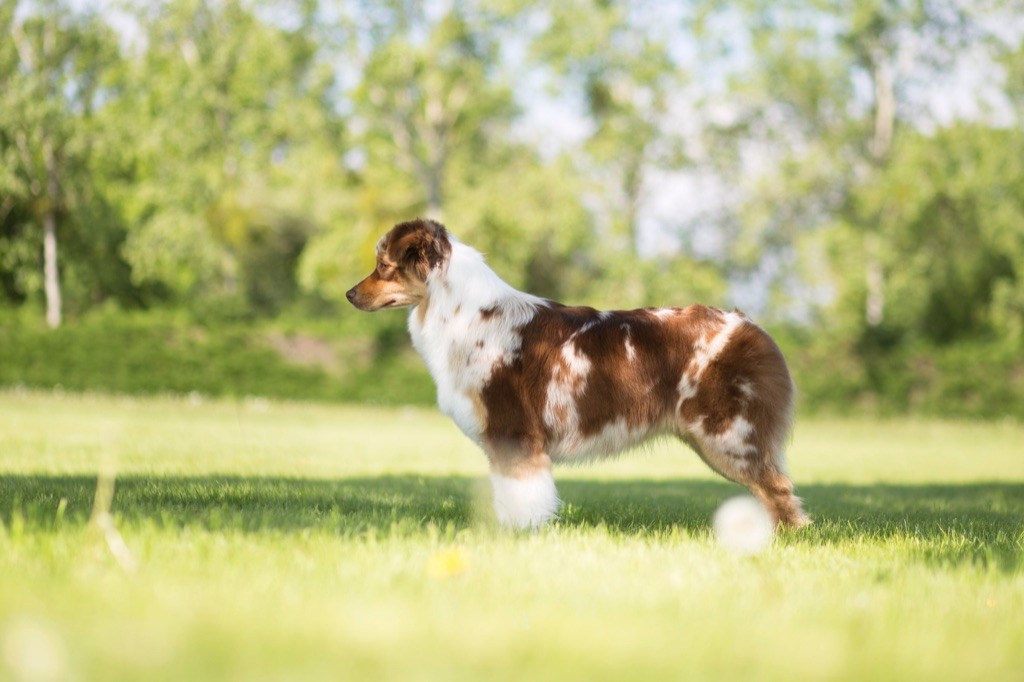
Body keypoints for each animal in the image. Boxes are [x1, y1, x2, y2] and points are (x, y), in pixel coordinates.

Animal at [348, 220, 811, 528]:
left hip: (729, 434)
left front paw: (521, 535)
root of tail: (750, 324)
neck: (462, 313)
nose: (349, 293)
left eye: (383, 266)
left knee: (780, 490)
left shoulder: (514, 432)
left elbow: (522, 495)